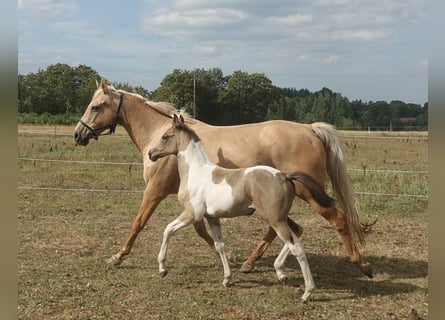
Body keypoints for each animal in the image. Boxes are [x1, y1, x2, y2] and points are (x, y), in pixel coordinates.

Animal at [73, 79, 372, 276]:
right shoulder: (194, 202)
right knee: (279, 229)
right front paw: (226, 254)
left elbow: (138, 223)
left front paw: (117, 256)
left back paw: (361, 264)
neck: (163, 136)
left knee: (337, 220)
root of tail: (311, 129)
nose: (78, 134)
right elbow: (201, 229)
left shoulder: (155, 191)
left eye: (96, 107)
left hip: (311, 193)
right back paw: (250, 262)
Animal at [147, 114, 334, 302]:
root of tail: (284, 175)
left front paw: (162, 269)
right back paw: (280, 271)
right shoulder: (212, 217)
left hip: (275, 219)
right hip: (280, 217)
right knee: (298, 232)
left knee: (297, 247)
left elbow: (167, 229)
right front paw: (227, 279)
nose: (151, 153)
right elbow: (220, 245)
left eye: (165, 136)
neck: (196, 173)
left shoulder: (192, 214)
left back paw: (307, 292)